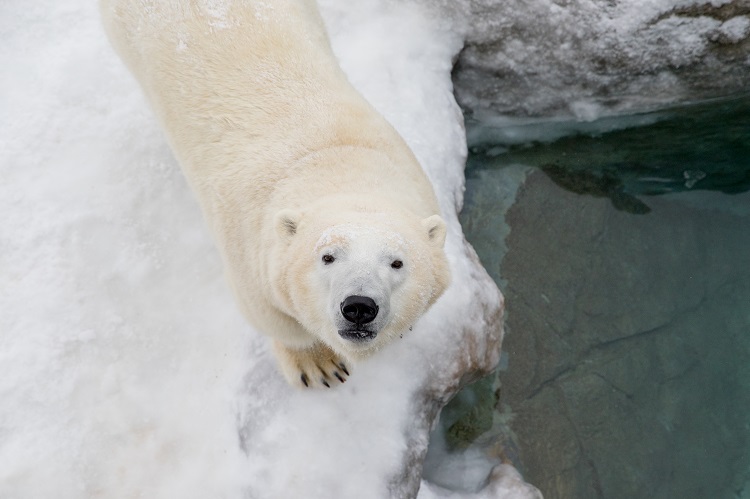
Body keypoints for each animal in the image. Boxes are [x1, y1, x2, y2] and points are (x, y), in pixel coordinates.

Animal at [102, 0, 450, 388]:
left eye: (397, 262)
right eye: (327, 256)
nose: (359, 307)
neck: (334, 160)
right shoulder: (250, 253)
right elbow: (275, 317)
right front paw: (319, 364)